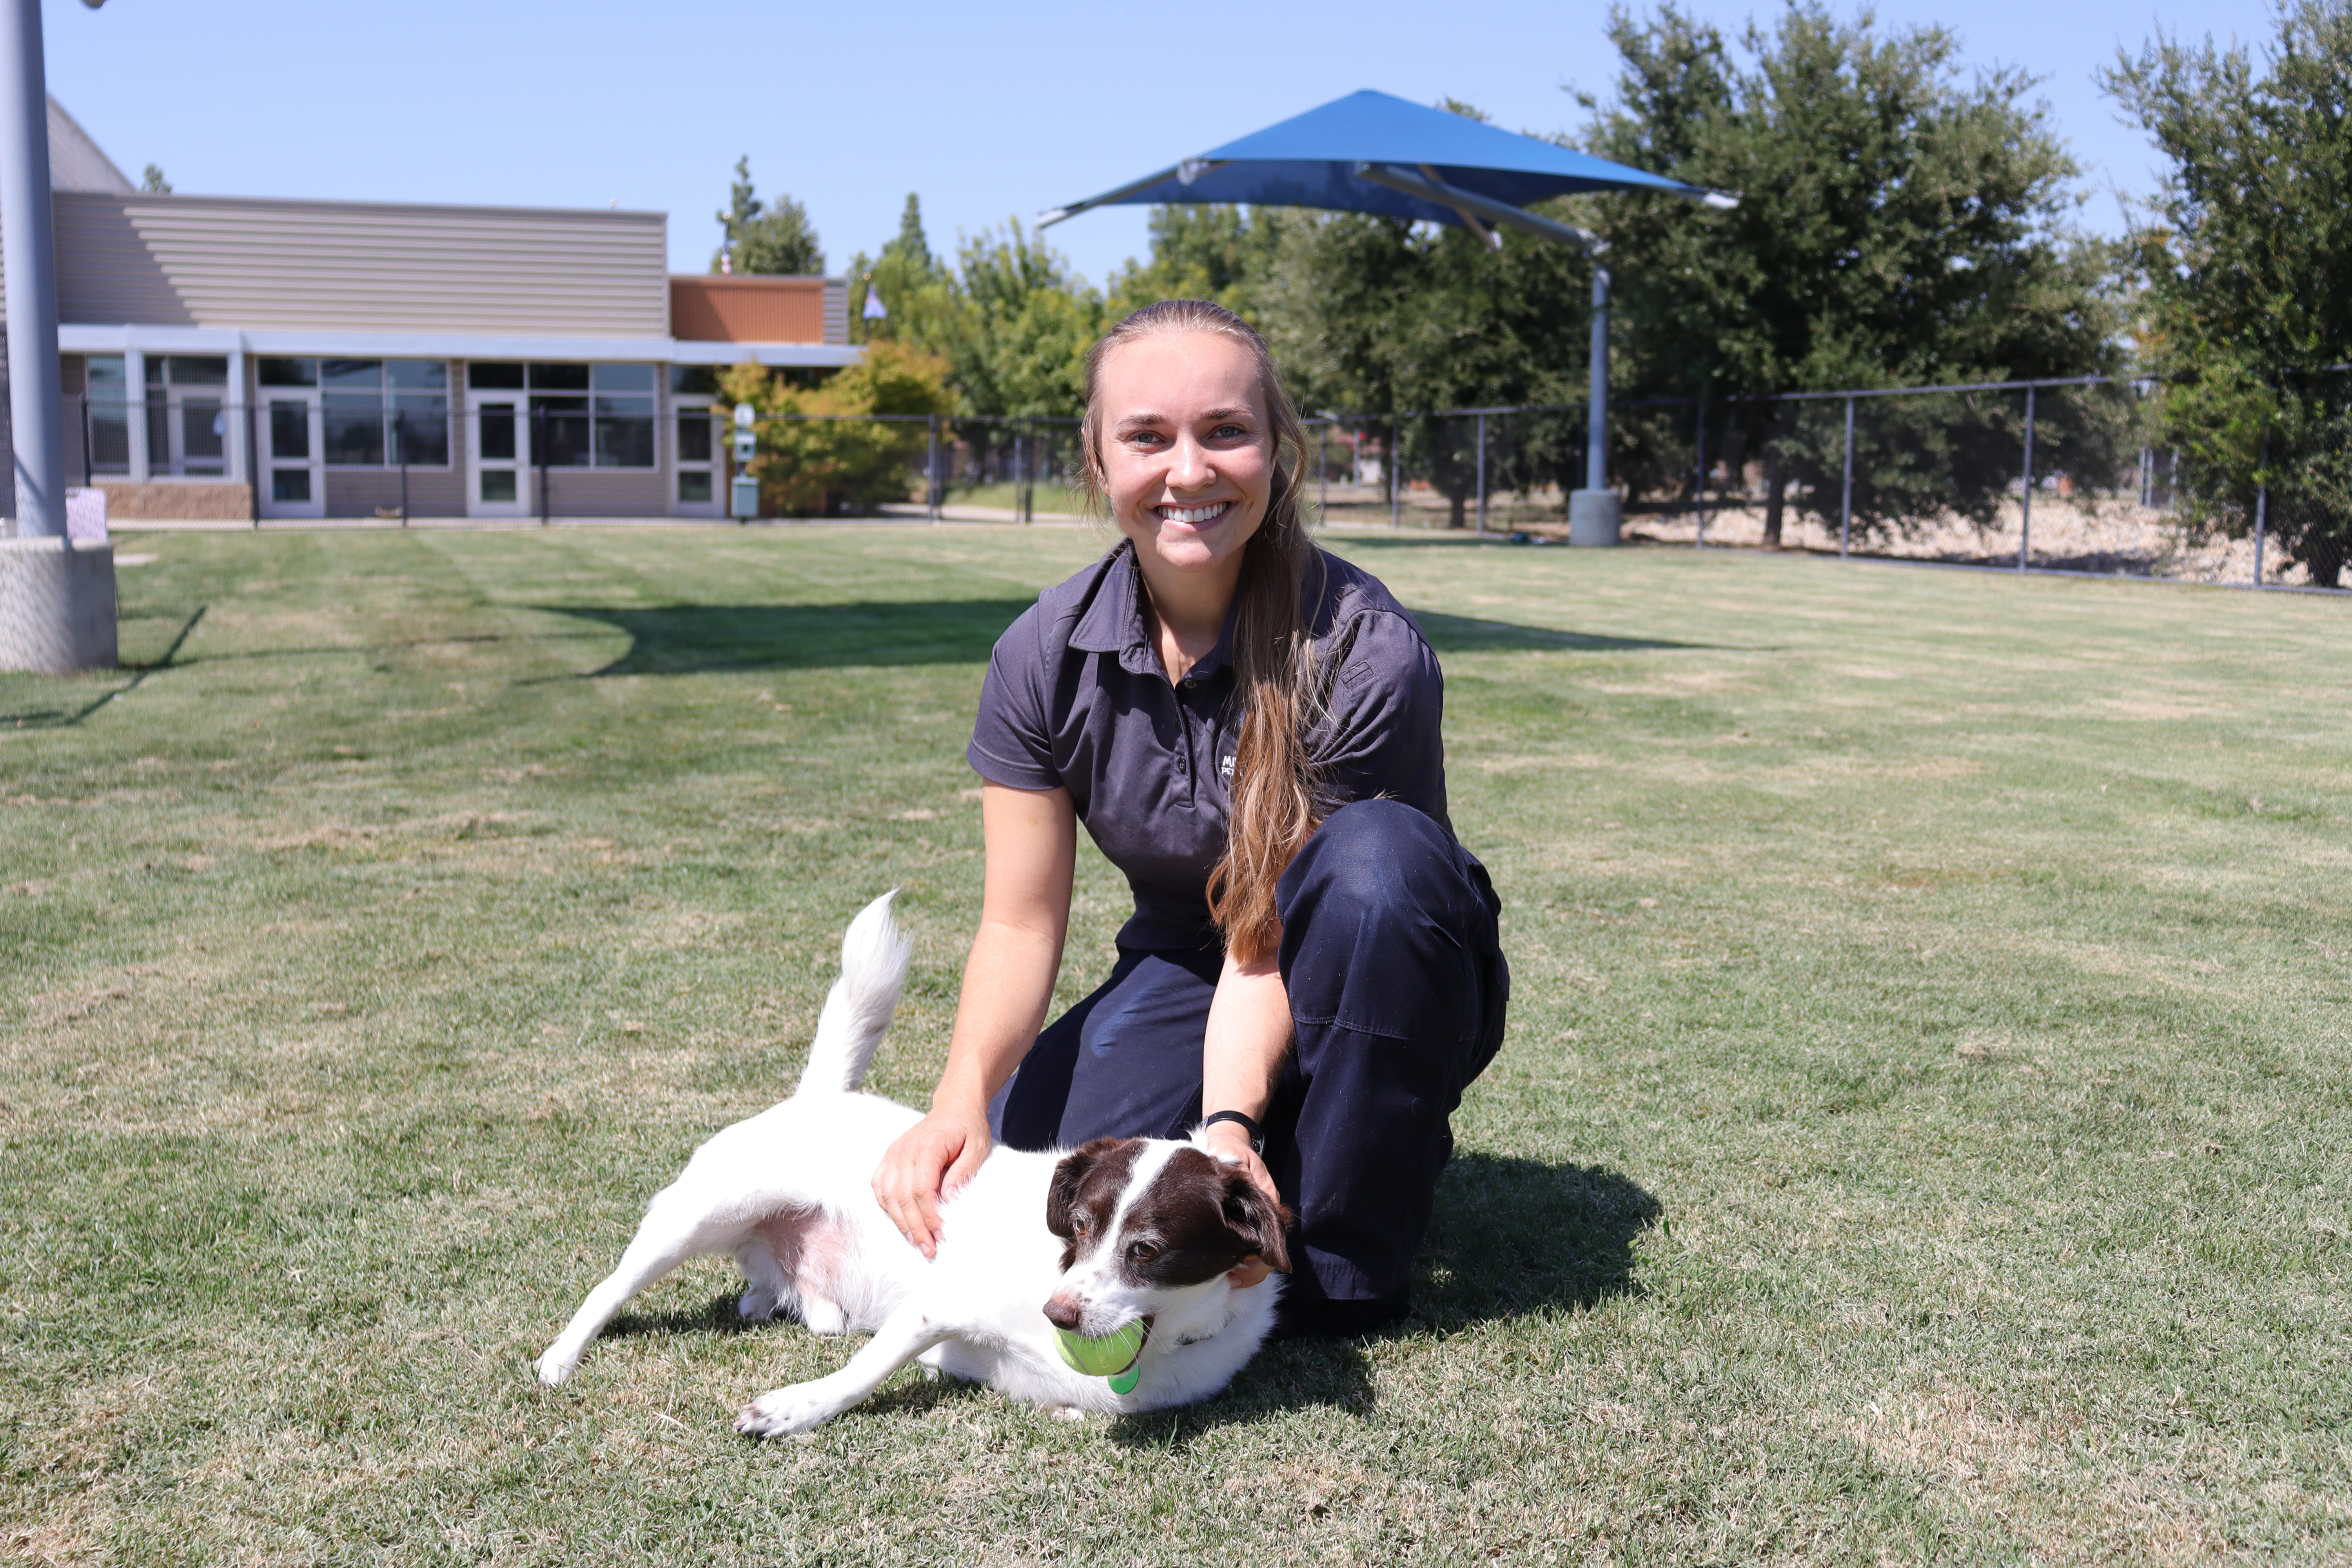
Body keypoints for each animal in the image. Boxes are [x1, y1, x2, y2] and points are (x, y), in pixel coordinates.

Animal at [534, 893, 1289, 1439]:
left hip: (809, 1294)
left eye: (1147, 1250)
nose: (1059, 1312)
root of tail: (820, 1094)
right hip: (700, 1215)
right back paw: (561, 1357)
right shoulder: (934, 1308)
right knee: (609, 1289)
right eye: (1076, 1225)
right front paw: (791, 1410)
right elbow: (862, 1375)